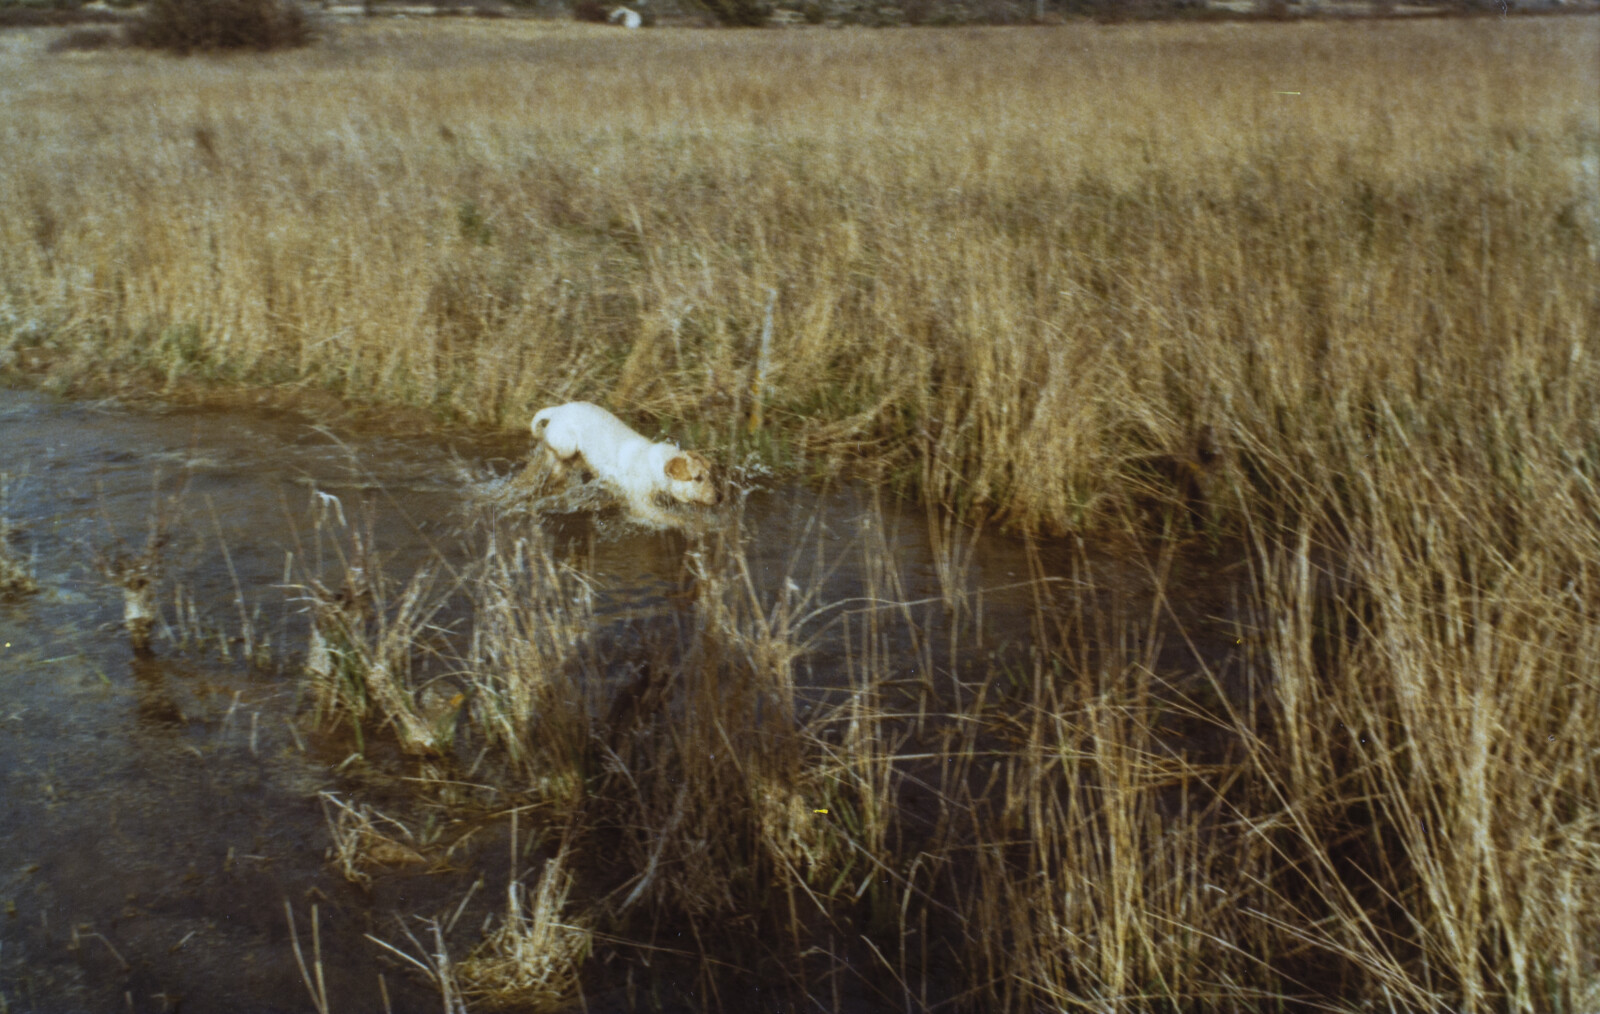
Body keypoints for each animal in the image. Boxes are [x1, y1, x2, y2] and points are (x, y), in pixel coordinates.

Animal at [531, 398, 720, 521]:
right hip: (567, 446)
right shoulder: (642, 507)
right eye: (697, 478)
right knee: (549, 449)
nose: (720, 497)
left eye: (709, 475)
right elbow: (674, 520)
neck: (654, 467)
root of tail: (558, 409)